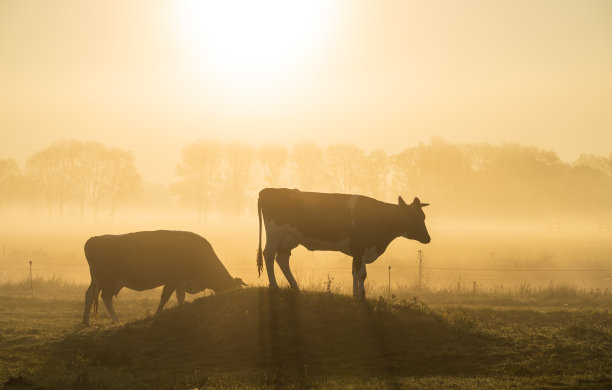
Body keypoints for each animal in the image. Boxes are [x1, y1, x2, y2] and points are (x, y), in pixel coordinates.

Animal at [82, 230, 244, 324]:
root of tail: (94, 239)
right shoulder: (172, 280)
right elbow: (164, 298)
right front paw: (158, 314)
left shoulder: (181, 282)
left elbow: (180, 297)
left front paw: (181, 309)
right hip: (108, 280)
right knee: (106, 297)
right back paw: (116, 321)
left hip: (97, 280)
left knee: (89, 294)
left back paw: (85, 321)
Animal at [256, 187, 432, 298]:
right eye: (413, 218)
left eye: (423, 217)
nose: (428, 238)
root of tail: (268, 190)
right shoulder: (360, 248)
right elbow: (362, 273)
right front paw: (361, 295)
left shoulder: (358, 251)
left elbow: (355, 272)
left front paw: (355, 294)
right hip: (275, 234)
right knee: (269, 255)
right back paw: (274, 285)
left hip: (288, 239)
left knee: (282, 259)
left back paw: (295, 285)